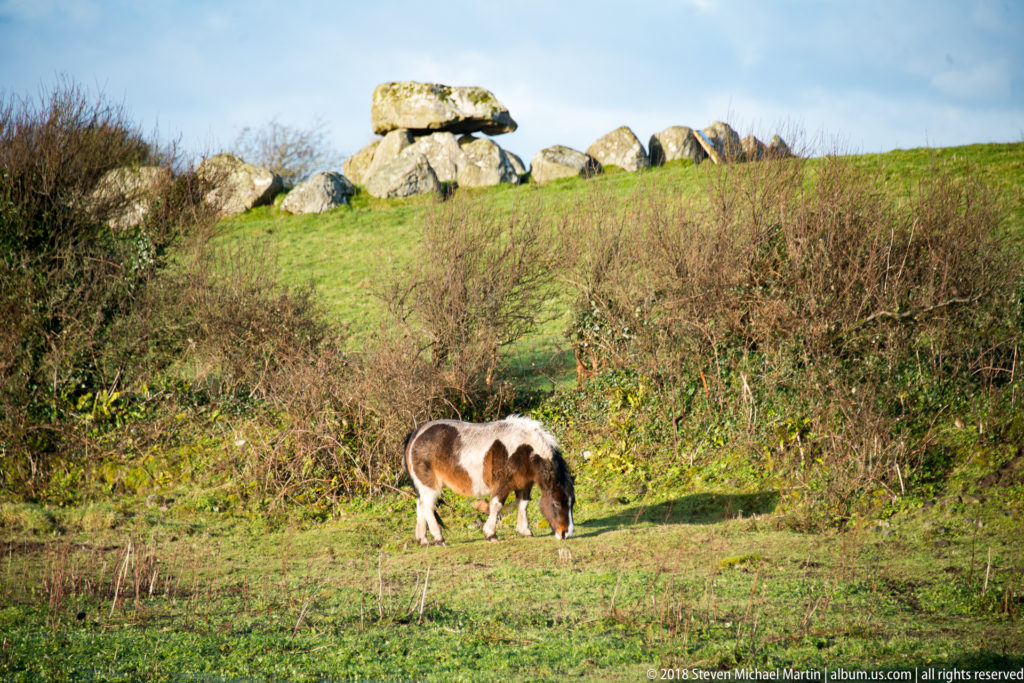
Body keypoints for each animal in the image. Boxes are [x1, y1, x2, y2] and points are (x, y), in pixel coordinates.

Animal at [403, 415, 575, 545]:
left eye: (572, 503)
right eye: (556, 503)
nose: (566, 533)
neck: (523, 450)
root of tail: (416, 433)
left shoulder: (524, 484)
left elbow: (523, 505)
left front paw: (524, 530)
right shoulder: (502, 485)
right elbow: (496, 506)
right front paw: (490, 534)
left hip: (423, 486)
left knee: (420, 505)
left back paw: (423, 539)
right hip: (430, 485)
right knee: (428, 507)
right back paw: (438, 538)